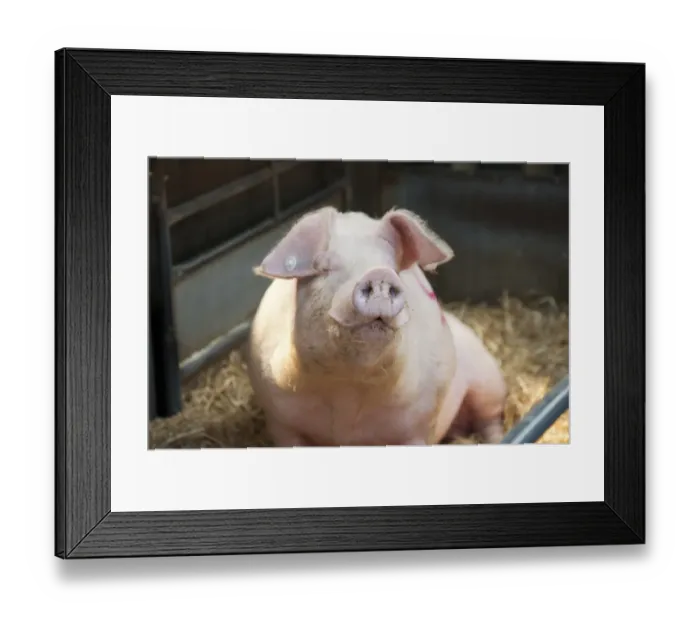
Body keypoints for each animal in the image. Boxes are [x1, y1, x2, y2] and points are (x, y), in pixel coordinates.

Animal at [245, 205, 507, 447]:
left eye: (392, 266)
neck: (347, 390)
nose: (379, 273)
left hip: (489, 384)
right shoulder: (279, 420)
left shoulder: (418, 427)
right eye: (325, 266)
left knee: (491, 420)